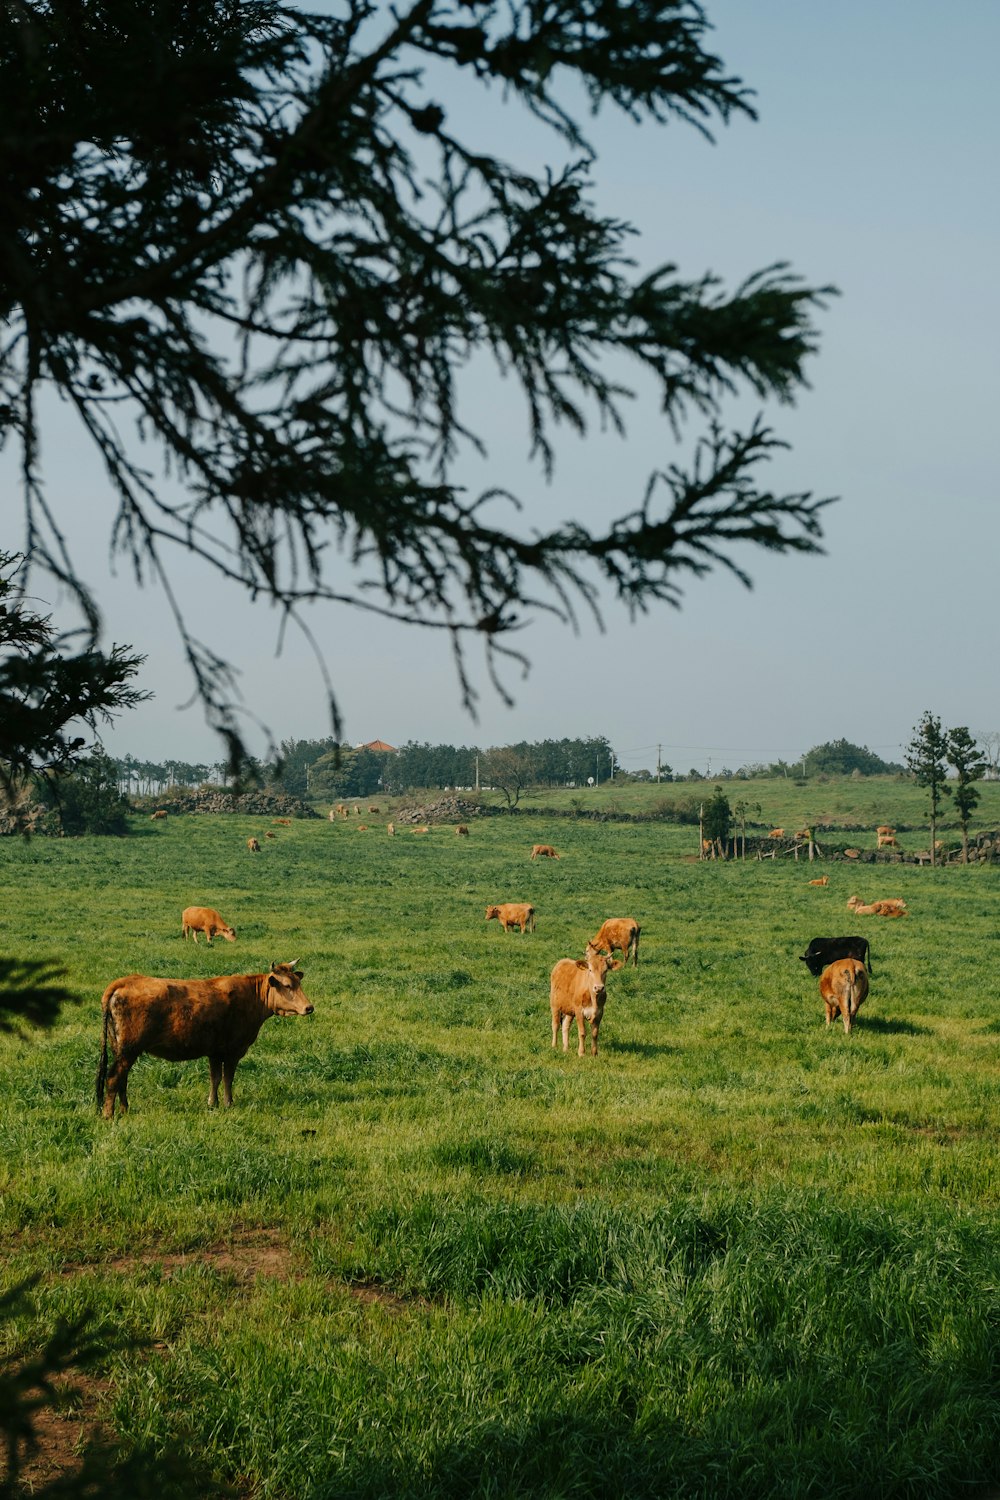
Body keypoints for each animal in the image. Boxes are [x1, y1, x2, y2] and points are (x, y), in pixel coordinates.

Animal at [94, 960, 313, 1116]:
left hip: (120, 1049)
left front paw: (212, 1103)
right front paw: (228, 1103)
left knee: (122, 1079)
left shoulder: (214, 1051)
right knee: (114, 1078)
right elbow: (227, 1078)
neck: (252, 996)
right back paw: (108, 1115)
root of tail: (124, 981)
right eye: (287, 985)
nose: (309, 1007)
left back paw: (125, 1109)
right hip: (129, 1049)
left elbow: (215, 1078)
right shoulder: (233, 1051)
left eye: (298, 983)